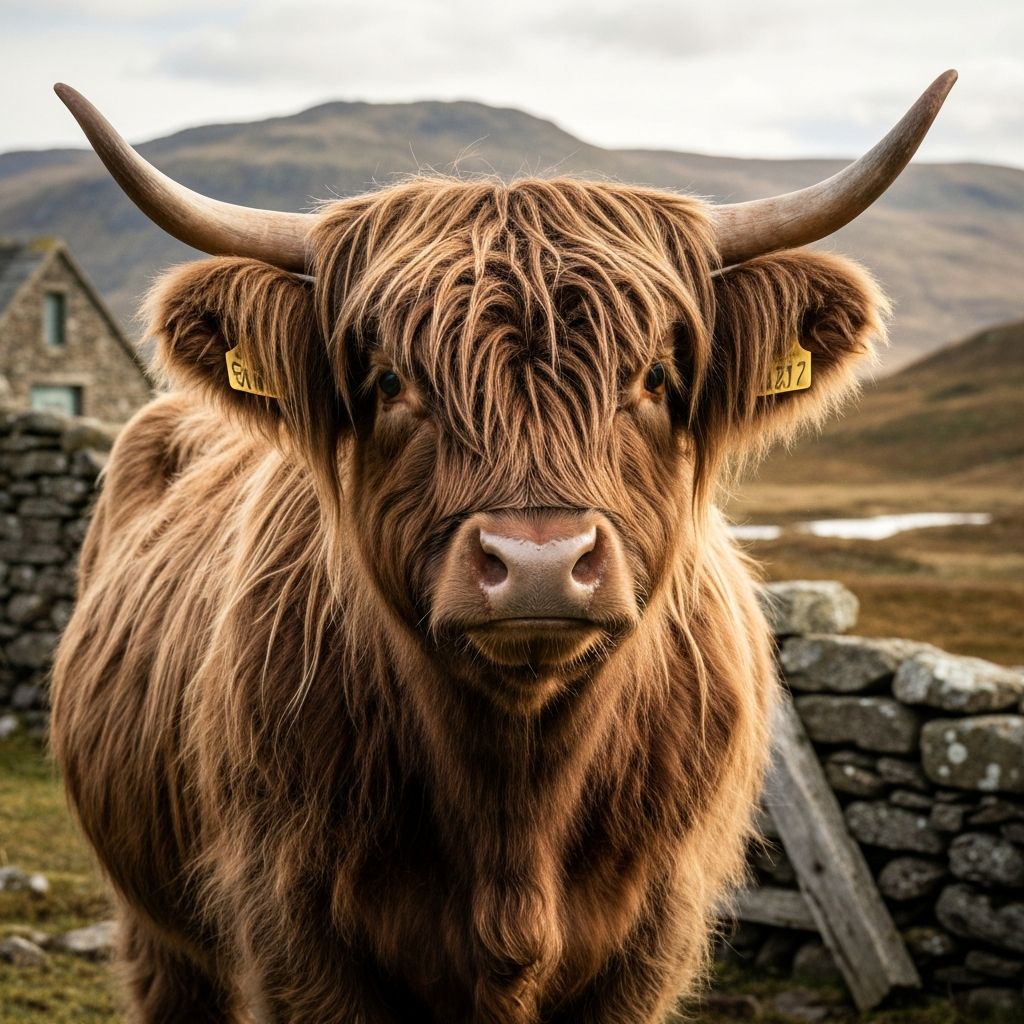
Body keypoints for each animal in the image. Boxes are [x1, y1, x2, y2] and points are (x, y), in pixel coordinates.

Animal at [49, 73, 955, 1024]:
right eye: (389, 381)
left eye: (654, 377)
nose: (539, 564)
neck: (516, 793)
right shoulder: (293, 929)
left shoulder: (651, 939)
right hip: (158, 927)